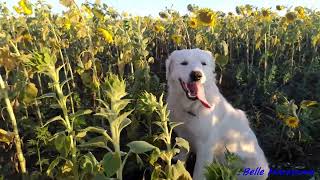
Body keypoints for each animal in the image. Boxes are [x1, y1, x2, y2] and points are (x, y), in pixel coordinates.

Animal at [166, 48, 268, 180]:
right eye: (184, 63)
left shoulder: (205, 147)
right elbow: (183, 152)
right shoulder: (183, 134)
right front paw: (179, 165)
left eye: (203, 64)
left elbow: (199, 173)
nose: (197, 75)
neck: (192, 106)